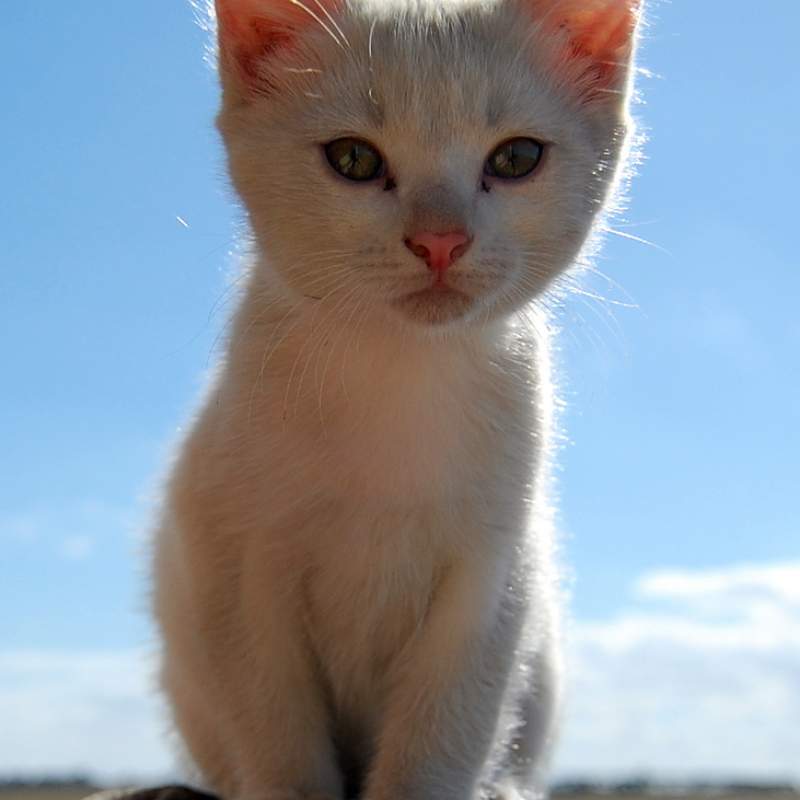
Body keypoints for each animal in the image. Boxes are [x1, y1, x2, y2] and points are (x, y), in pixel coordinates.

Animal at [153, 1, 640, 800]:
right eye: (353, 159)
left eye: (516, 159)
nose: (440, 240)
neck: (400, 372)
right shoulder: (235, 571)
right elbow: (279, 739)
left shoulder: (491, 579)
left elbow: (441, 737)